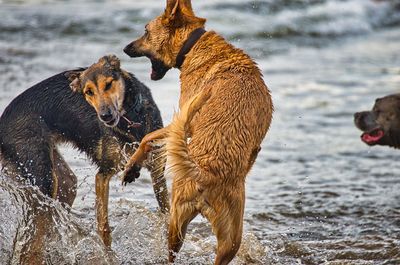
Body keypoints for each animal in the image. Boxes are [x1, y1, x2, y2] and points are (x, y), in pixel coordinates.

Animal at [0, 54, 169, 245]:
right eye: (88, 92)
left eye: (108, 84)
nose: (105, 116)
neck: (132, 120)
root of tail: (2, 121)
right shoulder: (103, 175)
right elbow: (104, 228)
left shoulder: (157, 173)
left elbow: (169, 217)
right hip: (42, 175)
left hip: (65, 184)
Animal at [122, 1, 274, 262]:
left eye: (145, 31)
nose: (125, 48)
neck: (193, 45)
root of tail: (206, 173)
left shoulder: (184, 123)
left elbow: (147, 138)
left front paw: (131, 168)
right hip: (228, 239)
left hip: (177, 218)